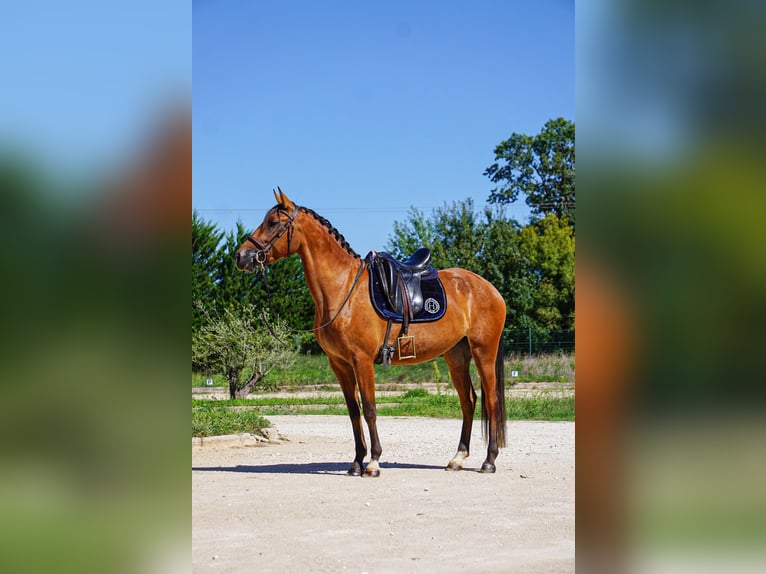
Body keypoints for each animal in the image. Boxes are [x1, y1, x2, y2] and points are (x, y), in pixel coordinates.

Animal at [235, 188, 507, 476]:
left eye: (273, 223)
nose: (241, 256)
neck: (343, 289)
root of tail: (490, 288)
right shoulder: (339, 364)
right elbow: (353, 411)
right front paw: (356, 462)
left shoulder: (362, 359)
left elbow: (369, 409)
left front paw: (373, 462)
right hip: (456, 356)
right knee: (469, 401)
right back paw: (457, 458)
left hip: (483, 352)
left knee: (491, 401)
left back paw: (489, 461)